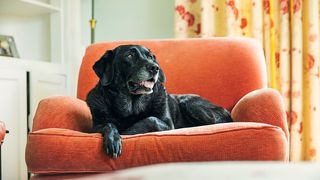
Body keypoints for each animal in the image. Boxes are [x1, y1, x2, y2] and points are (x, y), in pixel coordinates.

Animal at [86, 44, 231, 158]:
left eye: (150, 57)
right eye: (129, 56)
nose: (155, 67)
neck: (131, 106)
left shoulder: (168, 125)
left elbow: (150, 119)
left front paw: (125, 132)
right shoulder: (93, 128)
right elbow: (108, 124)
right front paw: (114, 138)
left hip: (189, 104)